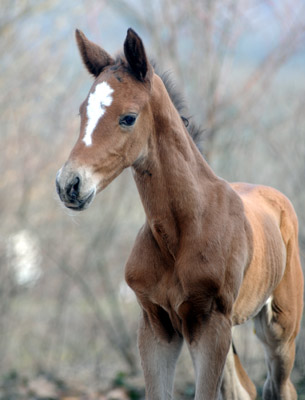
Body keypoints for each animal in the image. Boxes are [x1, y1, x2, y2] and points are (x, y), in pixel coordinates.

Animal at [55, 28, 302, 400]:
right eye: (82, 112)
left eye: (128, 117)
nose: (69, 184)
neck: (183, 229)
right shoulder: (156, 325)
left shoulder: (209, 324)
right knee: (241, 389)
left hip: (278, 331)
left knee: (281, 386)